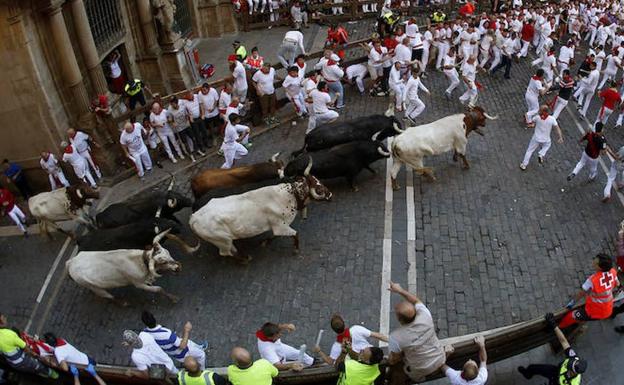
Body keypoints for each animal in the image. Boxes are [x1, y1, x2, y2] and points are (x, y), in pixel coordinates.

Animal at [189, 158, 332, 260]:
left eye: (318, 180)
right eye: (319, 189)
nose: (330, 195)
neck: (290, 195)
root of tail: (193, 218)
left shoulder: (277, 227)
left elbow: (274, 236)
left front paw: (265, 243)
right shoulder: (281, 226)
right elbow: (295, 234)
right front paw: (296, 249)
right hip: (222, 240)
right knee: (226, 252)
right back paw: (245, 258)